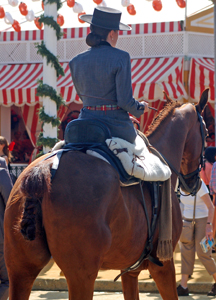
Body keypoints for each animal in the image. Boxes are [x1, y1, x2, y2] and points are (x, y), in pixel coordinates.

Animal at [4, 89, 208, 300]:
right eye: (207, 132)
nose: (194, 183)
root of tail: (45, 169)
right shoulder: (163, 266)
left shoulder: (129, 270)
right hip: (81, 276)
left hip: (20, 270)